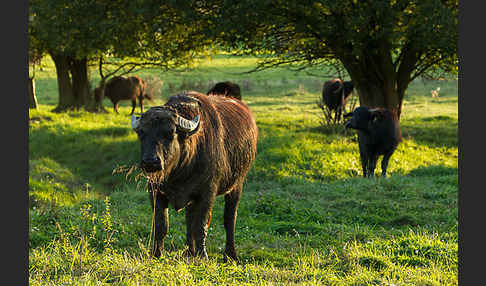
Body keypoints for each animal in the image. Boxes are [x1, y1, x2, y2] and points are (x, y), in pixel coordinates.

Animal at [129, 90, 258, 260]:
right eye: (141, 132)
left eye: (170, 132)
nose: (150, 162)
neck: (179, 172)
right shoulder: (155, 191)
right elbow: (161, 225)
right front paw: (156, 254)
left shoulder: (207, 194)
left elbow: (200, 226)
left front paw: (203, 255)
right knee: (189, 218)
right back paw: (189, 252)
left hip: (237, 185)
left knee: (230, 219)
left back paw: (230, 254)